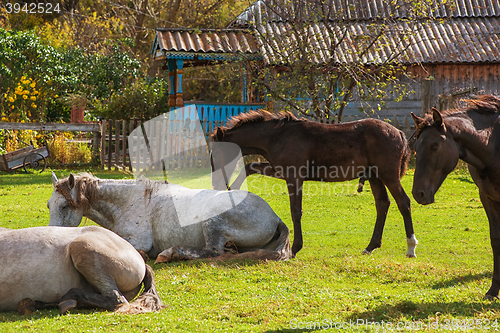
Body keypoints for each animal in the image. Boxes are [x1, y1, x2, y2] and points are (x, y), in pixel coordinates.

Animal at [211, 110, 418, 255]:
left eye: (216, 153)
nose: (215, 184)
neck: (278, 137)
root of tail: (399, 133)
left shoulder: (294, 176)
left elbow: (296, 211)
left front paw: (295, 248)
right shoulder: (280, 171)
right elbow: (249, 167)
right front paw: (233, 191)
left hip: (388, 175)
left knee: (403, 202)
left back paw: (411, 247)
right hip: (375, 176)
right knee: (382, 203)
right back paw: (371, 246)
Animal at [410, 94, 500, 298]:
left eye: (435, 146)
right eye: (416, 147)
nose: (418, 193)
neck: (494, 145)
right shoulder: (488, 198)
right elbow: (496, 240)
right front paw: (493, 290)